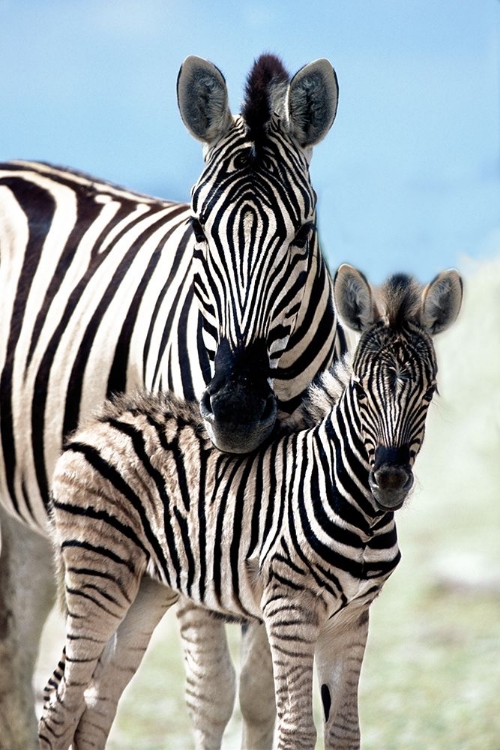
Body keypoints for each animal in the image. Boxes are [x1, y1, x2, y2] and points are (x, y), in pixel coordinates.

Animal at [0, 54, 344, 750]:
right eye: (197, 228)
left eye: (304, 234)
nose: (236, 411)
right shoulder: (188, 527)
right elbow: (210, 693)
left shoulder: (279, 534)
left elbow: (262, 695)